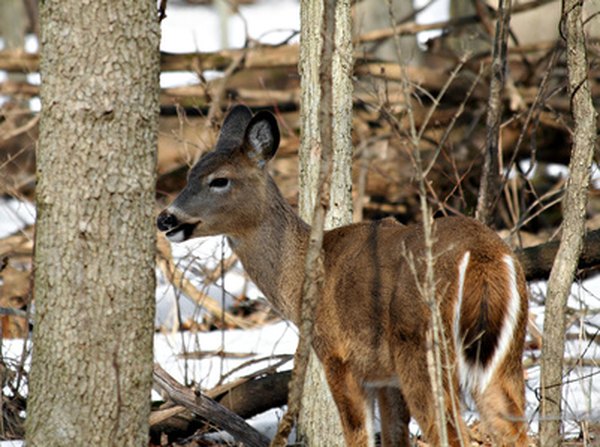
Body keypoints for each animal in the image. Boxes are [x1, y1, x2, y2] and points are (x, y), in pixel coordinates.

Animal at [157, 106, 528, 447]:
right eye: (189, 175)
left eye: (220, 180)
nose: (166, 218)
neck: (302, 278)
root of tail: (484, 259)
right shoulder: (385, 378)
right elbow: (393, 436)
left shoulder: (338, 356)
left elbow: (358, 434)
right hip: (506, 357)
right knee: (514, 429)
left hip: (425, 351)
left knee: (450, 434)